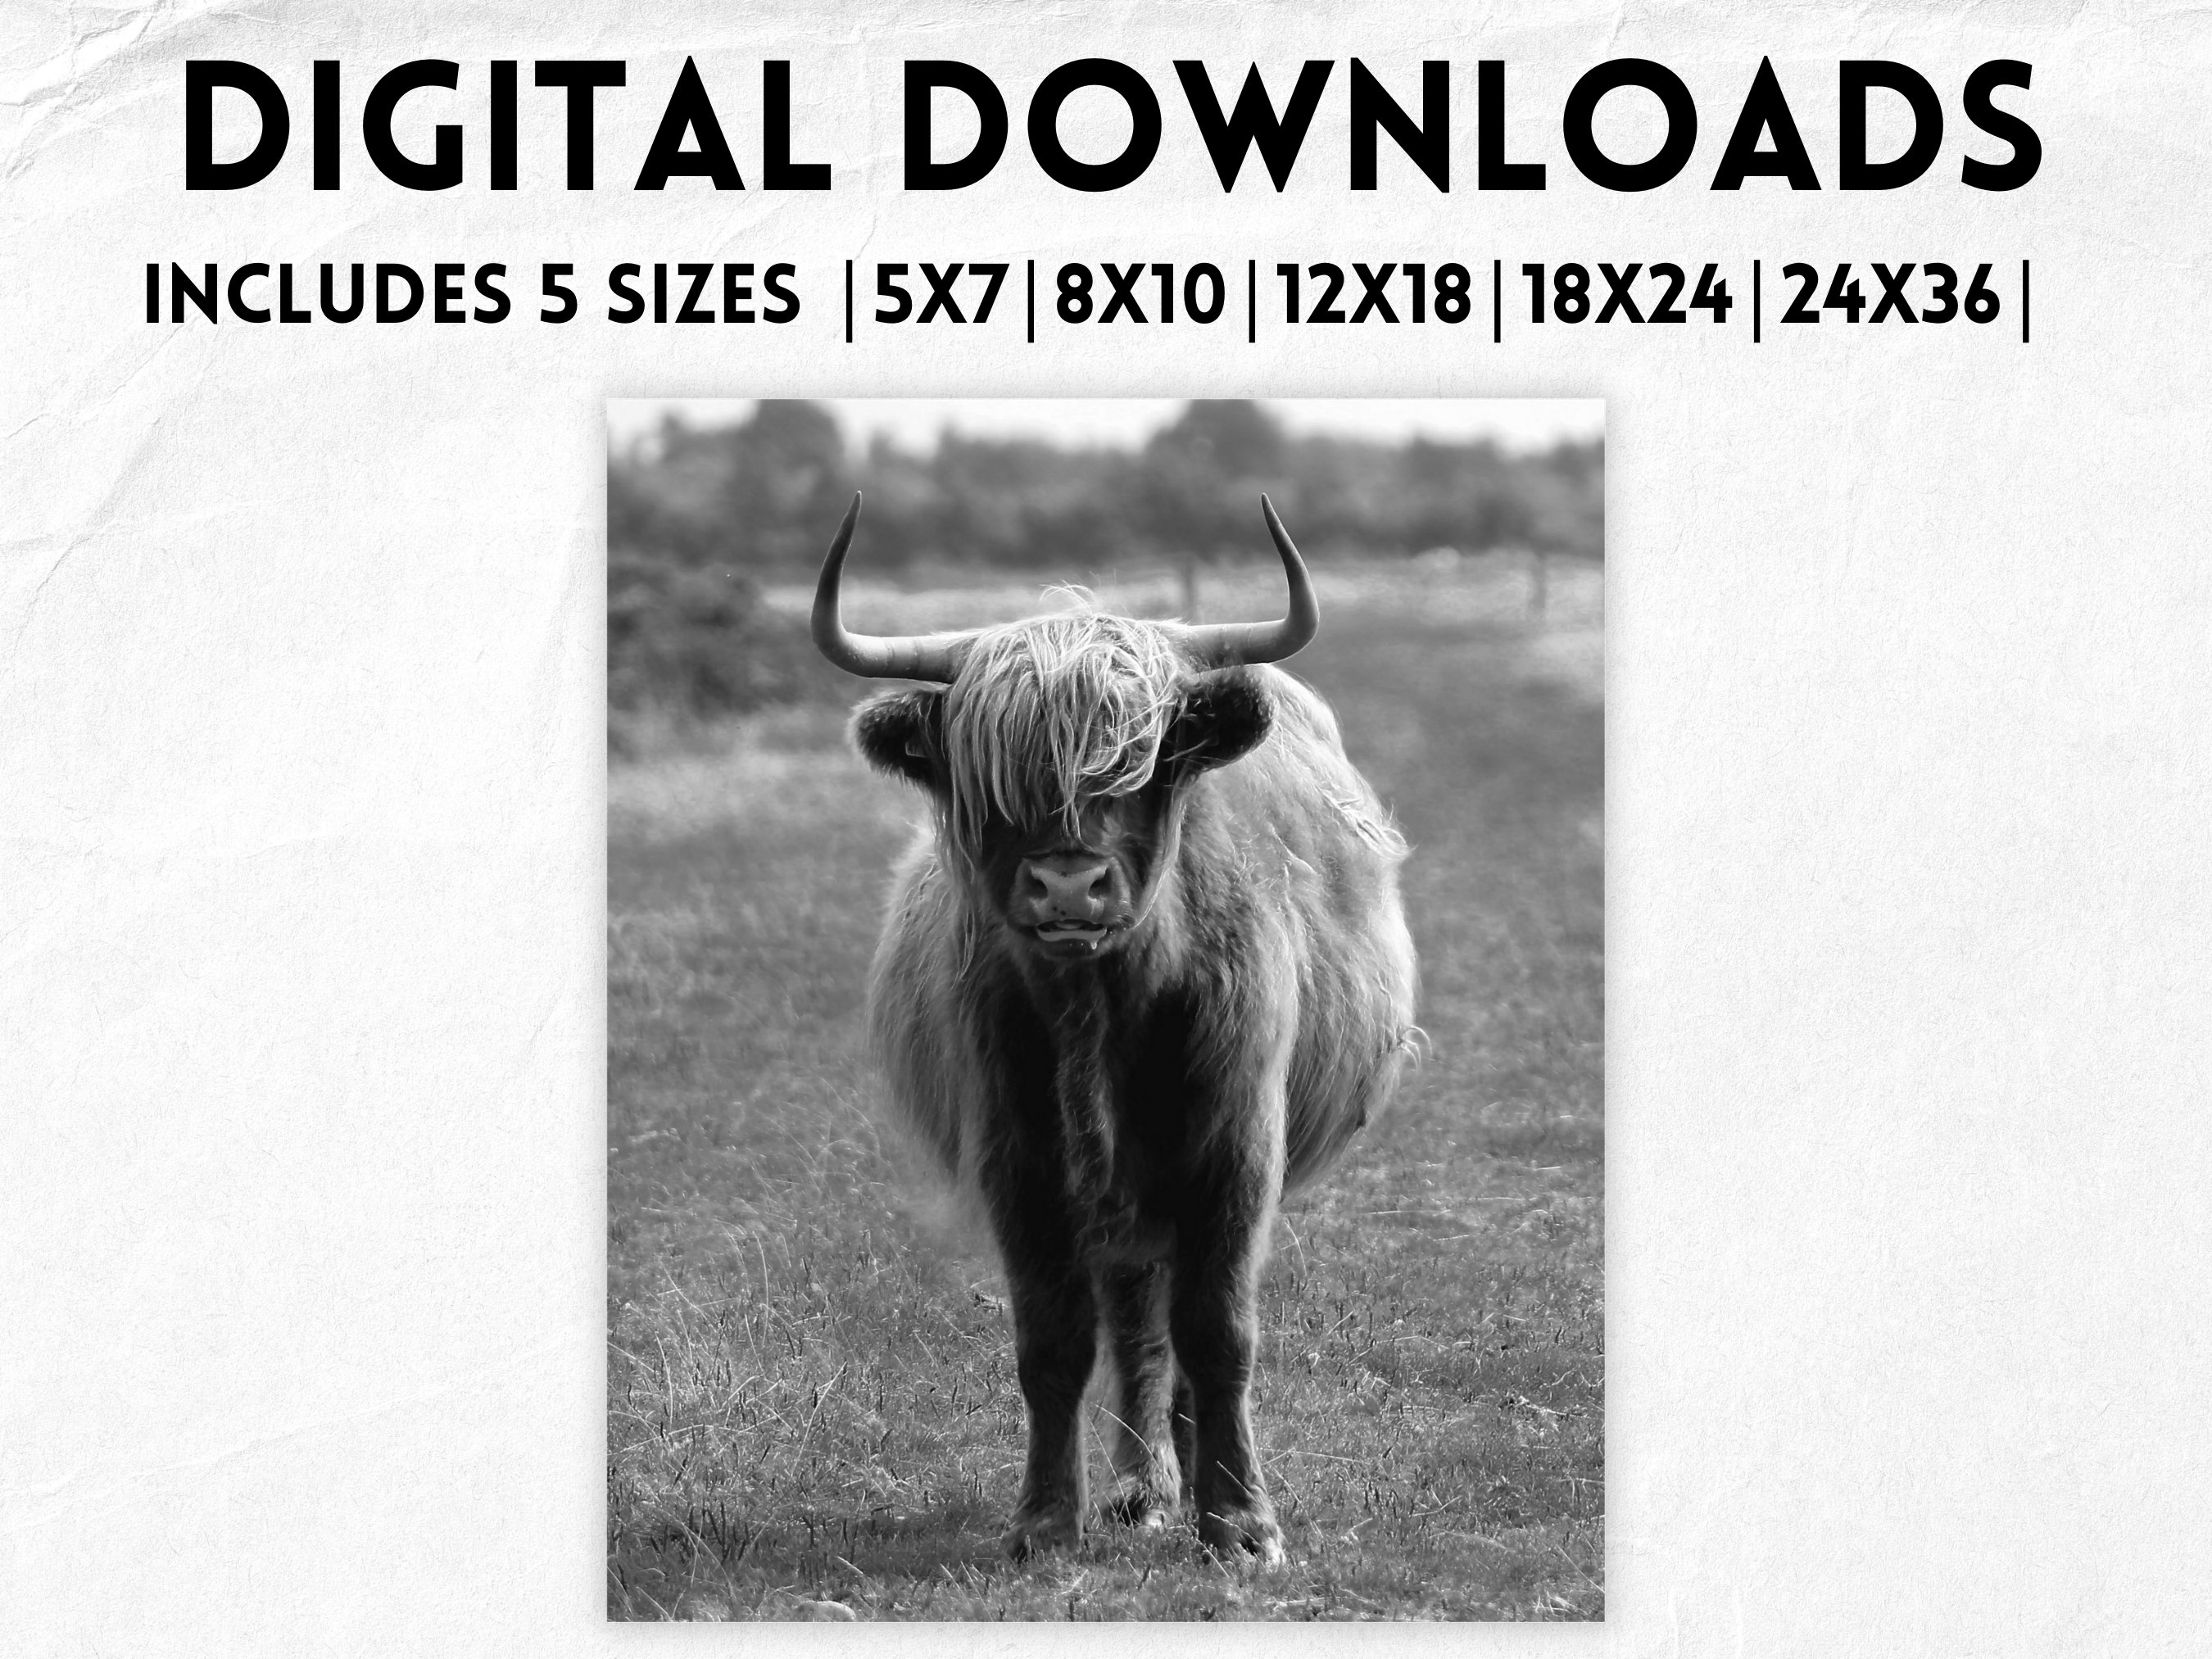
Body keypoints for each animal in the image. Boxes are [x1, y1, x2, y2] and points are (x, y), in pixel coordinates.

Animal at [811, 494, 1419, 1564]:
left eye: (1145, 763)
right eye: (991, 778)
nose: (1068, 886)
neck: (1101, 1010)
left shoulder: (1236, 1145)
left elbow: (1220, 1330)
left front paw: (1243, 1524)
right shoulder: (1018, 1159)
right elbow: (1053, 1341)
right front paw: (1047, 1520)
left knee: (1173, 1324)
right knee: (1138, 1320)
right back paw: (1143, 1485)